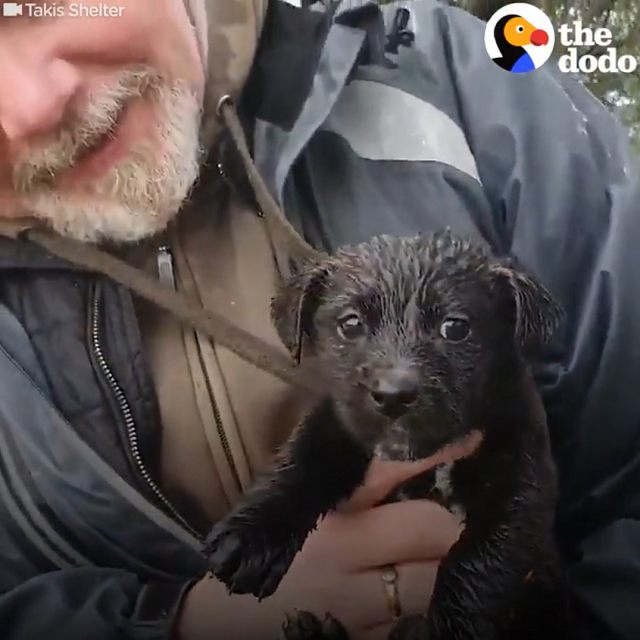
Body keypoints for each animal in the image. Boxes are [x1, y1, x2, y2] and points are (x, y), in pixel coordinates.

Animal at [204, 231, 568, 640]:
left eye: (455, 327)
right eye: (350, 324)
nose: (393, 395)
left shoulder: (523, 485)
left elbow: (476, 563)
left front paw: (444, 628)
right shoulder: (338, 423)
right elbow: (302, 461)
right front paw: (251, 535)